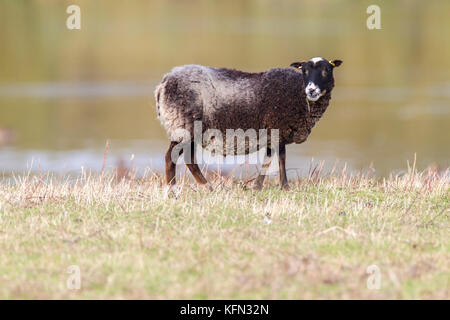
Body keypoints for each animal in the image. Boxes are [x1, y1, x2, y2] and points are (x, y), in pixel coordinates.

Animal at [155, 57, 342, 190]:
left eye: (327, 70)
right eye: (304, 70)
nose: (312, 90)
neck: (299, 93)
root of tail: (163, 83)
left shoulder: (271, 133)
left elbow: (268, 160)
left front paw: (257, 186)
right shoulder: (279, 127)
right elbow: (281, 158)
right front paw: (285, 186)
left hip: (192, 130)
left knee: (189, 160)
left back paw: (208, 188)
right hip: (183, 125)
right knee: (170, 157)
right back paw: (172, 191)